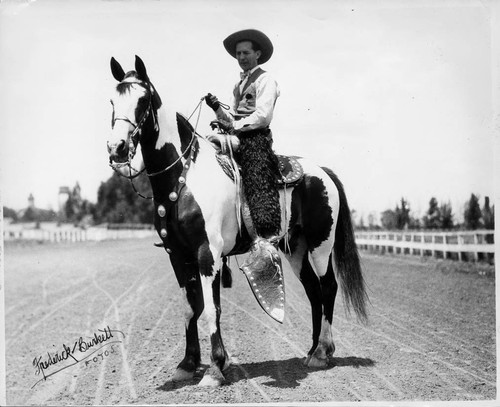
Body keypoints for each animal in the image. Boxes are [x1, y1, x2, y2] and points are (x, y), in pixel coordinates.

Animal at [108, 55, 368, 388]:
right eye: (112, 100)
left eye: (142, 100)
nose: (116, 148)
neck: (184, 175)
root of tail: (322, 171)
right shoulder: (178, 255)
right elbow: (190, 308)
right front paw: (188, 364)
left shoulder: (208, 253)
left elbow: (210, 309)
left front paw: (215, 369)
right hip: (296, 248)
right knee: (312, 291)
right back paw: (310, 351)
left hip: (321, 246)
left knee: (328, 287)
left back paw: (323, 352)